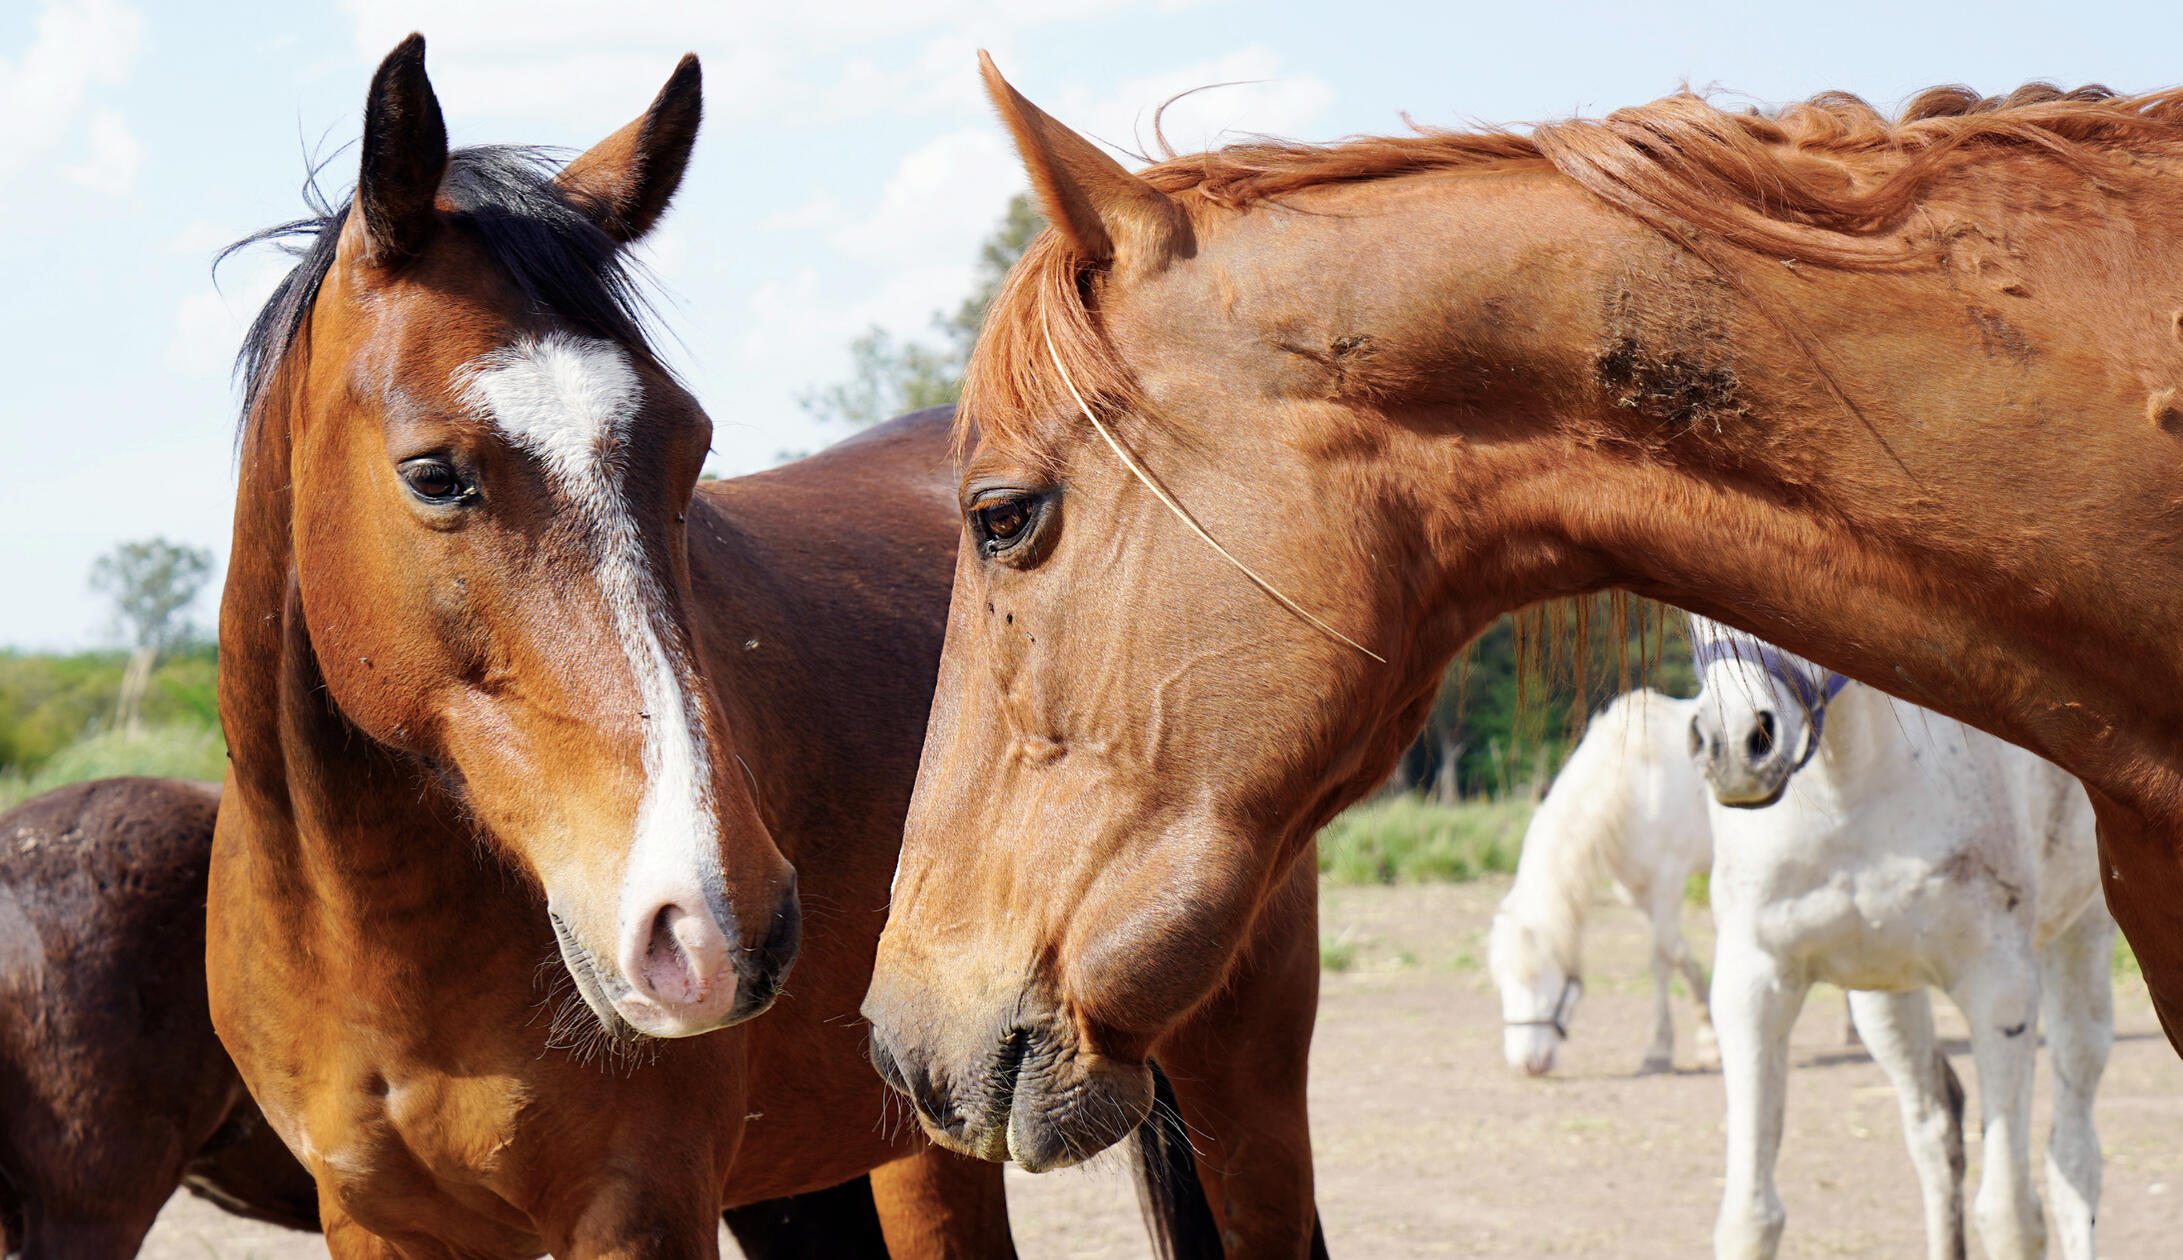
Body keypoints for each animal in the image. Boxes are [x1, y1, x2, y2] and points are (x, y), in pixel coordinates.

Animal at [201, 35, 1239, 1259]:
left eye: (689, 444)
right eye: (433, 473)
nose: (716, 923)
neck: (375, 932)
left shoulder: (640, 1203)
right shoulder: (369, 1219)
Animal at [1489, 688, 1715, 1077]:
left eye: (1540, 975)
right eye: (1501, 980)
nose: (1527, 1064)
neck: (1636, 782)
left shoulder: (1668, 879)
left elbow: (1661, 958)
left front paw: (1659, 1050)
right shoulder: (1636, 891)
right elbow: (1680, 953)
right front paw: (1710, 1036)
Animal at [1689, 617, 2113, 1260]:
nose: (1739, 746)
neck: (1852, 788)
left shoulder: (2001, 991)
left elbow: (2012, 1217)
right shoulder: (1753, 987)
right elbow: (1748, 1218)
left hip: (2079, 942)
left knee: (2074, 1158)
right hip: (1883, 994)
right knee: (1936, 1131)